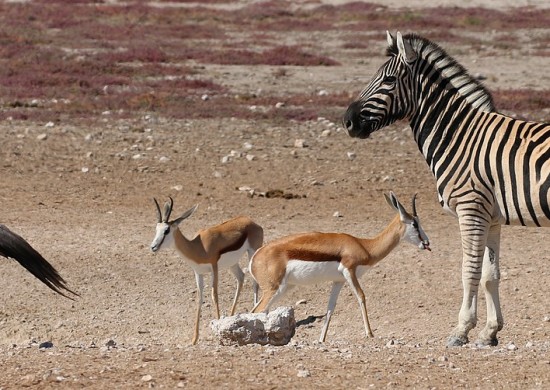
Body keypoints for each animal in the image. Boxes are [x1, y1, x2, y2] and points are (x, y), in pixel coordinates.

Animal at [342, 31, 550, 348]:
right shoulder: (491, 218)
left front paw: (461, 330)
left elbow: (469, 272)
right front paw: (489, 332)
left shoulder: (471, 210)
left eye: (388, 80)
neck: (461, 137)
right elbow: (490, 275)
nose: (348, 121)